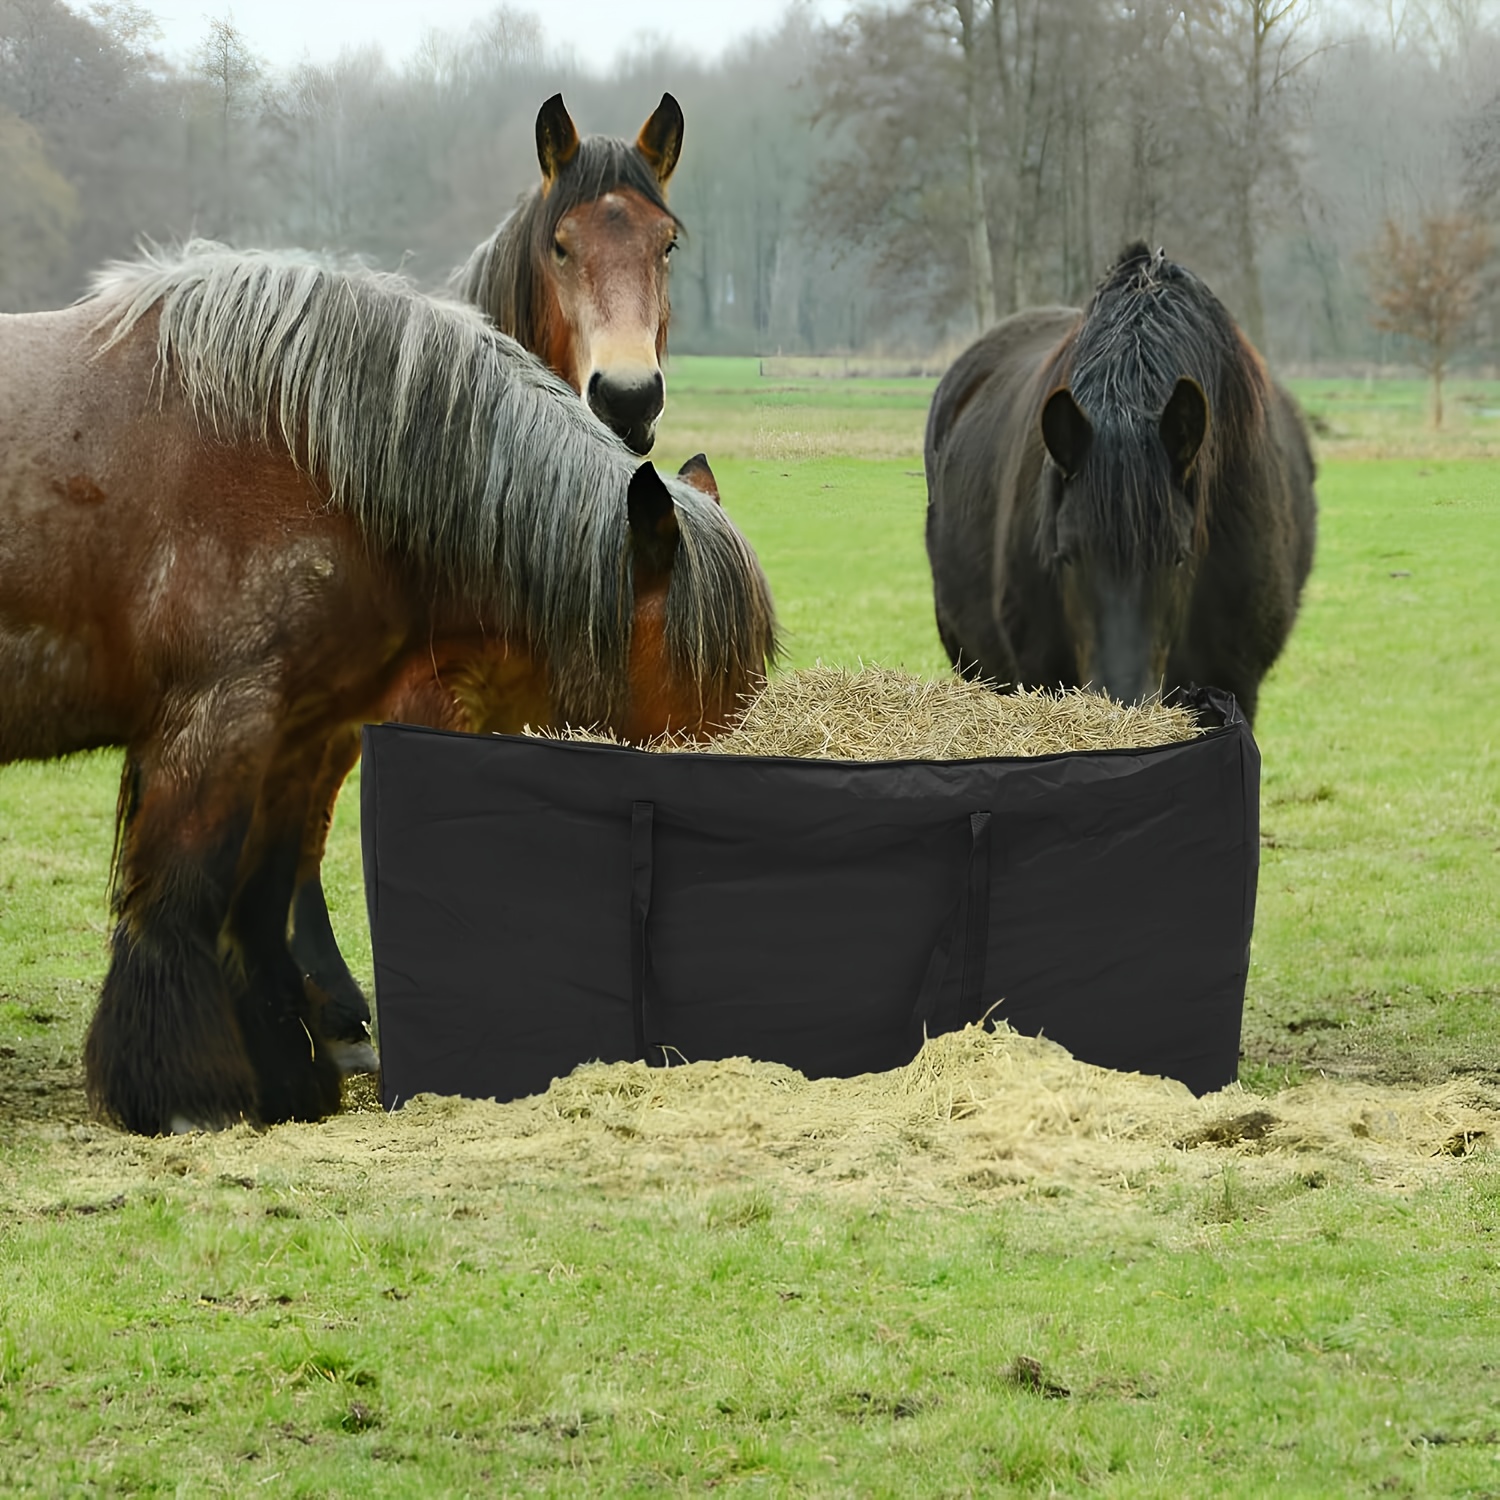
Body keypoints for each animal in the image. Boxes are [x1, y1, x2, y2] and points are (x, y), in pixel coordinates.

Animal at [0, 243, 775, 1136]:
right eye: (703, 681)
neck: (307, 447)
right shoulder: (220, 720)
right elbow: (183, 895)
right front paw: (184, 1095)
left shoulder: (295, 733)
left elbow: (259, 901)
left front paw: (289, 1078)